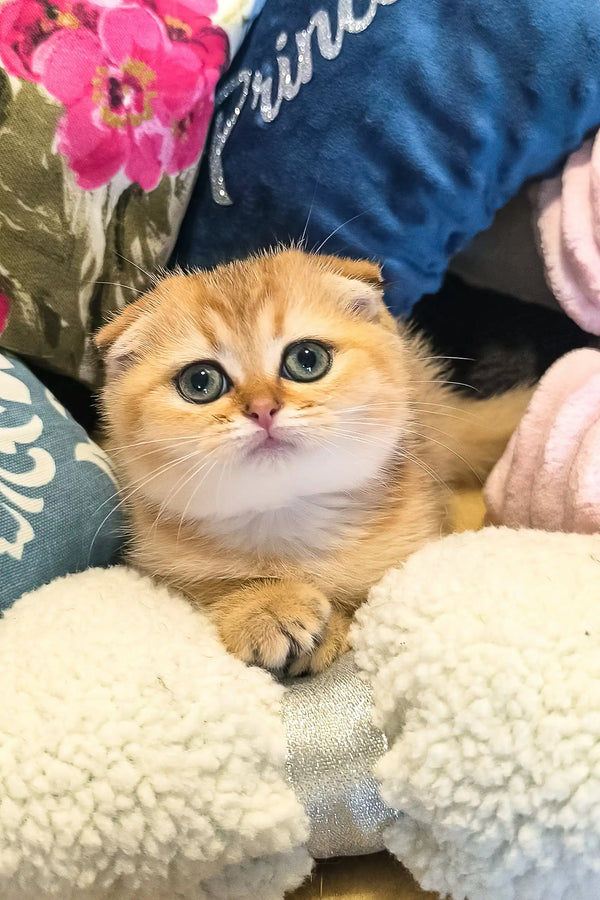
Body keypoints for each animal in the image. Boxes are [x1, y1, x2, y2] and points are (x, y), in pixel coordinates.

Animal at [97, 250, 528, 672]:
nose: (262, 409)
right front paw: (264, 606)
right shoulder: (157, 559)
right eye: (200, 382)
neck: (283, 516)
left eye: (307, 359)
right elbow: (209, 585)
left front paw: (328, 626)